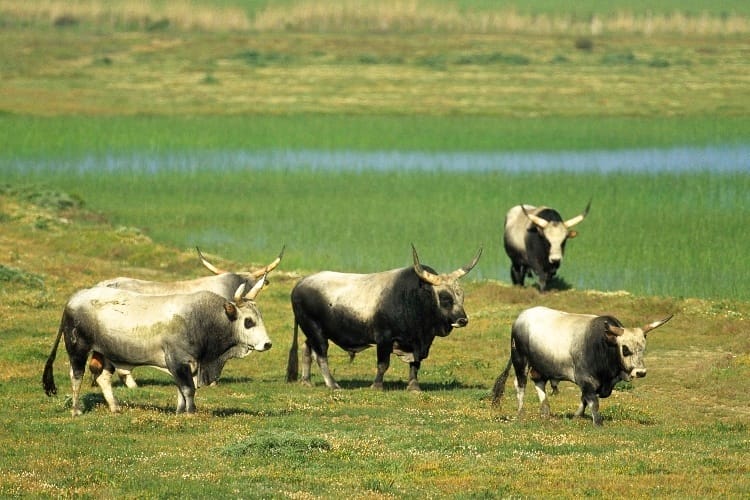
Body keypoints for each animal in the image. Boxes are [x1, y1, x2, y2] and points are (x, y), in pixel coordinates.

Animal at [42, 278, 271, 416]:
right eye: (248, 321)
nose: (267, 344)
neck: (202, 318)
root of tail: (74, 299)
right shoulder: (177, 361)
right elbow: (188, 389)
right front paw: (191, 413)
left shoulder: (190, 365)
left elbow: (182, 389)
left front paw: (180, 412)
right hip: (78, 348)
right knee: (76, 377)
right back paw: (76, 410)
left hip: (106, 353)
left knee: (102, 377)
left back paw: (115, 407)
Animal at [286, 245, 481, 392]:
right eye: (445, 297)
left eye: (461, 295)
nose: (463, 320)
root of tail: (301, 283)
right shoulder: (384, 339)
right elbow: (383, 364)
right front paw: (377, 386)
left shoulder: (418, 344)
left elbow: (415, 364)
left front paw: (414, 387)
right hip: (316, 331)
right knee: (321, 356)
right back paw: (333, 384)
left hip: (313, 332)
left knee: (307, 349)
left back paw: (306, 381)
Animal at [491, 306, 672, 426]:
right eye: (625, 348)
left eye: (643, 348)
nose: (641, 372)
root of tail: (521, 317)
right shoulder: (586, 379)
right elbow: (592, 401)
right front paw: (597, 423)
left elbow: (584, 399)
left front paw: (577, 416)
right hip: (520, 360)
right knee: (520, 384)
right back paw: (521, 413)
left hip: (540, 365)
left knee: (539, 382)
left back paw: (545, 411)